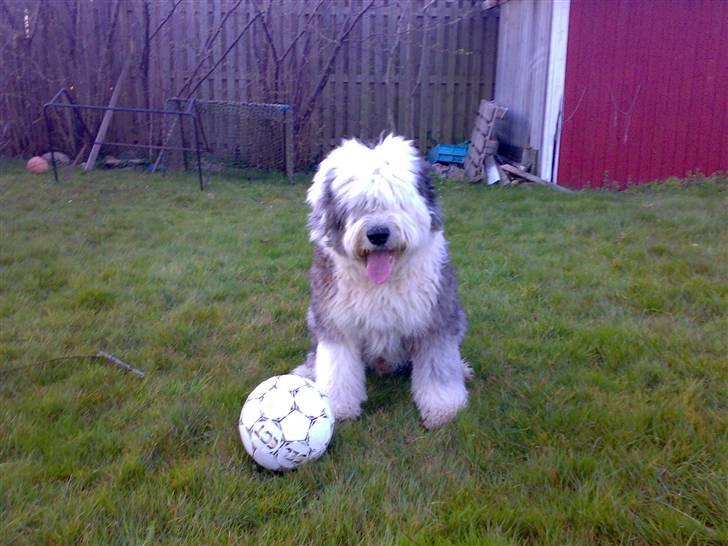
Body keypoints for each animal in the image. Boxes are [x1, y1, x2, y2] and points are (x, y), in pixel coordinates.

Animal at [292, 134, 470, 428]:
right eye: (357, 206)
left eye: (397, 201)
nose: (377, 234)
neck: (381, 282)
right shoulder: (337, 323)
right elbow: (338, 368)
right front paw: (338, 407)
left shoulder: (435, 321)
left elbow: (438, 368)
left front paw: (443, 408)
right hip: (314, 316)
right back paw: (307, 372)